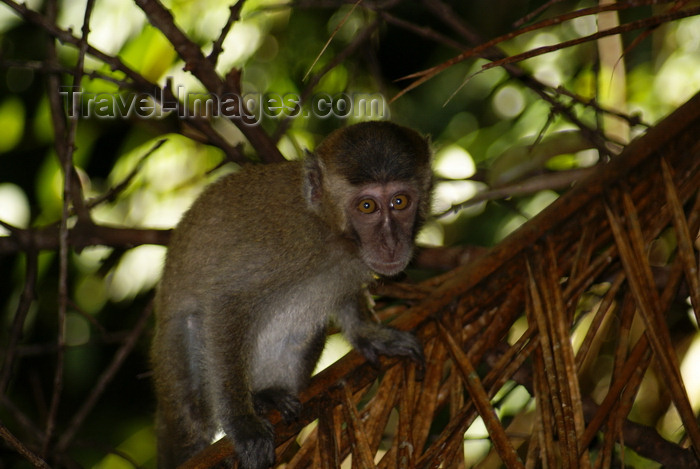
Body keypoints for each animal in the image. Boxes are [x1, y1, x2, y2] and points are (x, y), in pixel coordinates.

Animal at [153, 121, 432, 468]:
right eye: (367, 206)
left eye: (400, 202)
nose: (391, 242)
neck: (329, 229)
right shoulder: (284, 244)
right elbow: (225, 302)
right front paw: (242, 423)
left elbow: (345, 296)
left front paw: (370, 333)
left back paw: (269, 393)